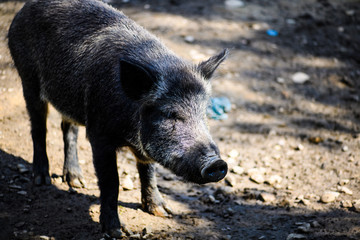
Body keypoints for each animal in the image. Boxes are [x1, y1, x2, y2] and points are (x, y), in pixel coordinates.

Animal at [8, 0, 229, 236]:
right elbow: (110, 181)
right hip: (28, 77)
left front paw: (164, 212)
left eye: (204, 112)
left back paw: (77, 182)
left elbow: (148, 171)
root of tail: (24, 8)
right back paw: (43, 180)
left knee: (68, 128)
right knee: (38, 127)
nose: (217, 163)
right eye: (170, 114)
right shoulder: (99, 135)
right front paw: (115, 231)